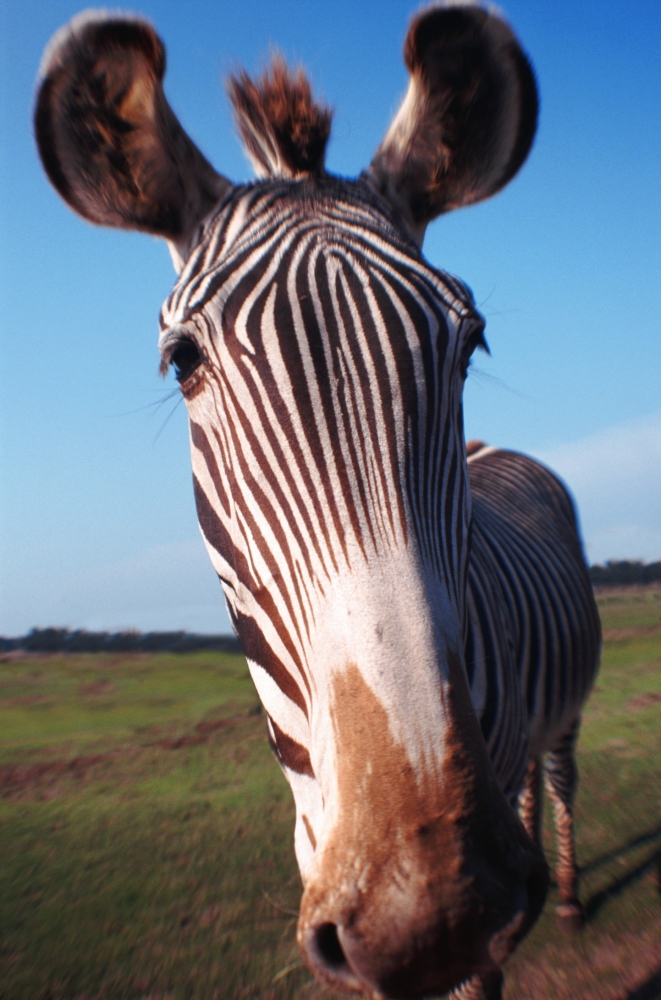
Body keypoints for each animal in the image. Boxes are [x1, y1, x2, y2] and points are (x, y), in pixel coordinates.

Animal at [37, 3, 604, 996]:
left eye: (471, 344)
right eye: (181, 361)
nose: (431, 905)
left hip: (567, 703)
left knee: (561, 771)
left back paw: (570, 896)